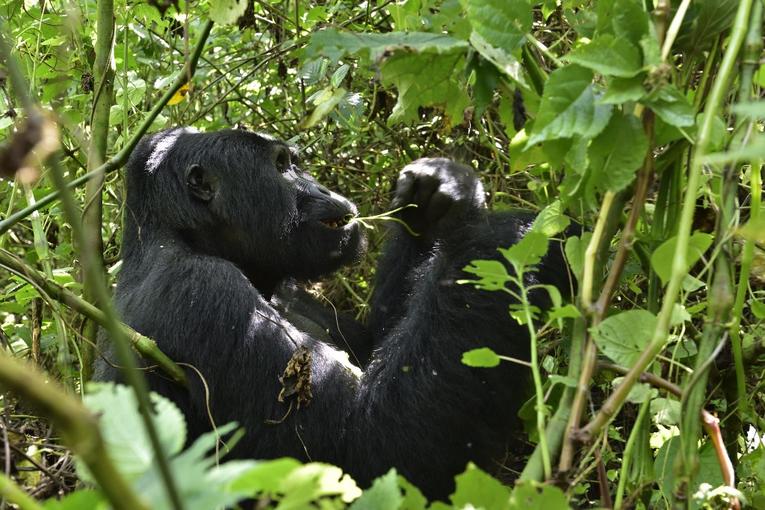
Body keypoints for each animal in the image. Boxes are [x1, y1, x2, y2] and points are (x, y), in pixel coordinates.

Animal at [95, 126, 572, 498]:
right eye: (282, 165)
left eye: (295, 162)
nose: (320, 187)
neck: (183, 237)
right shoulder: (204, 292)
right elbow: (372, 453)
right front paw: (507, 236)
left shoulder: (298, 290)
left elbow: (380, 341)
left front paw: (433, 197)